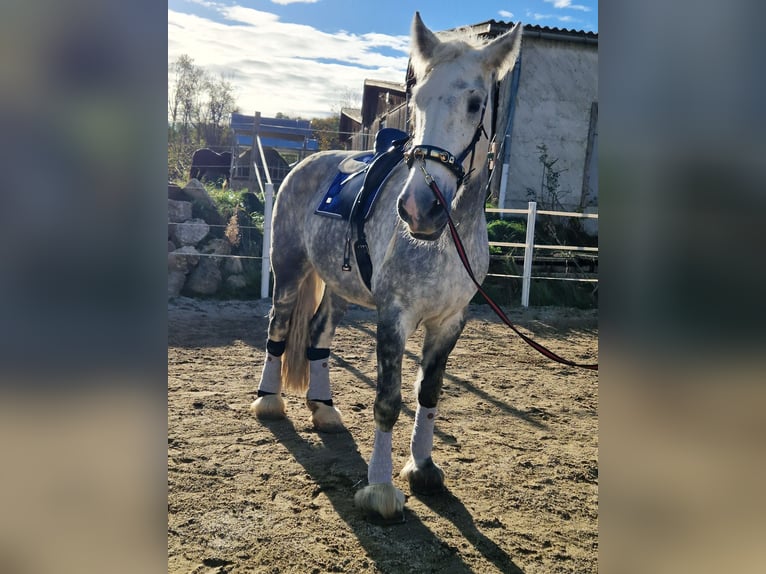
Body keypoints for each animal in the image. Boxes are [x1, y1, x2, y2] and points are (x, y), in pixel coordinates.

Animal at [250, 12, 520, 520]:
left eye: (475, 103)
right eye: (417, 101)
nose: (419, 208)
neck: (447, 237)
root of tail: (307, 161)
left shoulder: (450, 321)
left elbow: (428, 393)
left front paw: (423, 469)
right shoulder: (394, 317)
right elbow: (388, 402)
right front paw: (380, 489)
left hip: (337, 289)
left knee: (317, 336)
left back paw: (324, 409)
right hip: (289, 272)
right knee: (278, 328)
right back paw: (269, 402)